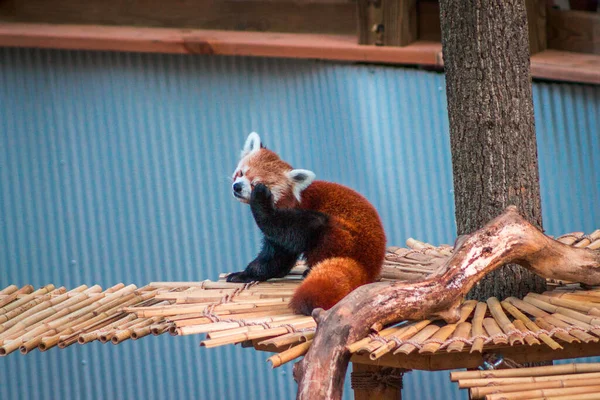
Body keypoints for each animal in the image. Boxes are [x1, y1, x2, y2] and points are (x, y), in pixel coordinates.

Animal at [227, 131, 386, 316]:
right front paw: (246, 274)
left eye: (255, 184)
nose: (237, 187)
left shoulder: (296, 216)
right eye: (241, 173)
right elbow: (276, 255)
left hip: (343, 236)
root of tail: (369, 265)